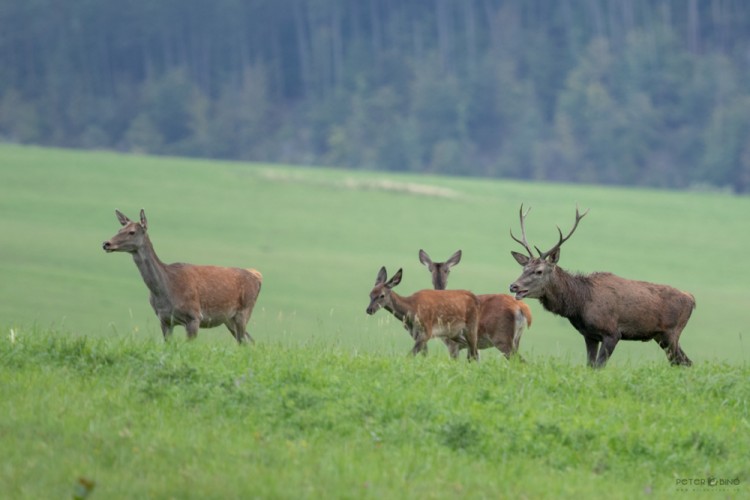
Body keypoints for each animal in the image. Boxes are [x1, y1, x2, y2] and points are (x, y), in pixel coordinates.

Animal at [101, 208, 262, 344]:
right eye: (119, 229)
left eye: (132, 232)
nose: (106, 243)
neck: (167, 290)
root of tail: (257, 276)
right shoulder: (164, 320)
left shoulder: (194, 316)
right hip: (229, 319)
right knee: (250, 341)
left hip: (244, 311)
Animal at [508, 204, 696, 368]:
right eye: (524, 268)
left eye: (539, 271)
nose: (513, 286)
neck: (580, 303)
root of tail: (691, 298)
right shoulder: (589, 335)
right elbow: (590, 366)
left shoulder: (612, 333)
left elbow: (599, 366)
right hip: (661, 336)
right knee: (684, 362)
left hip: (672, 332)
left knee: (683, 362)